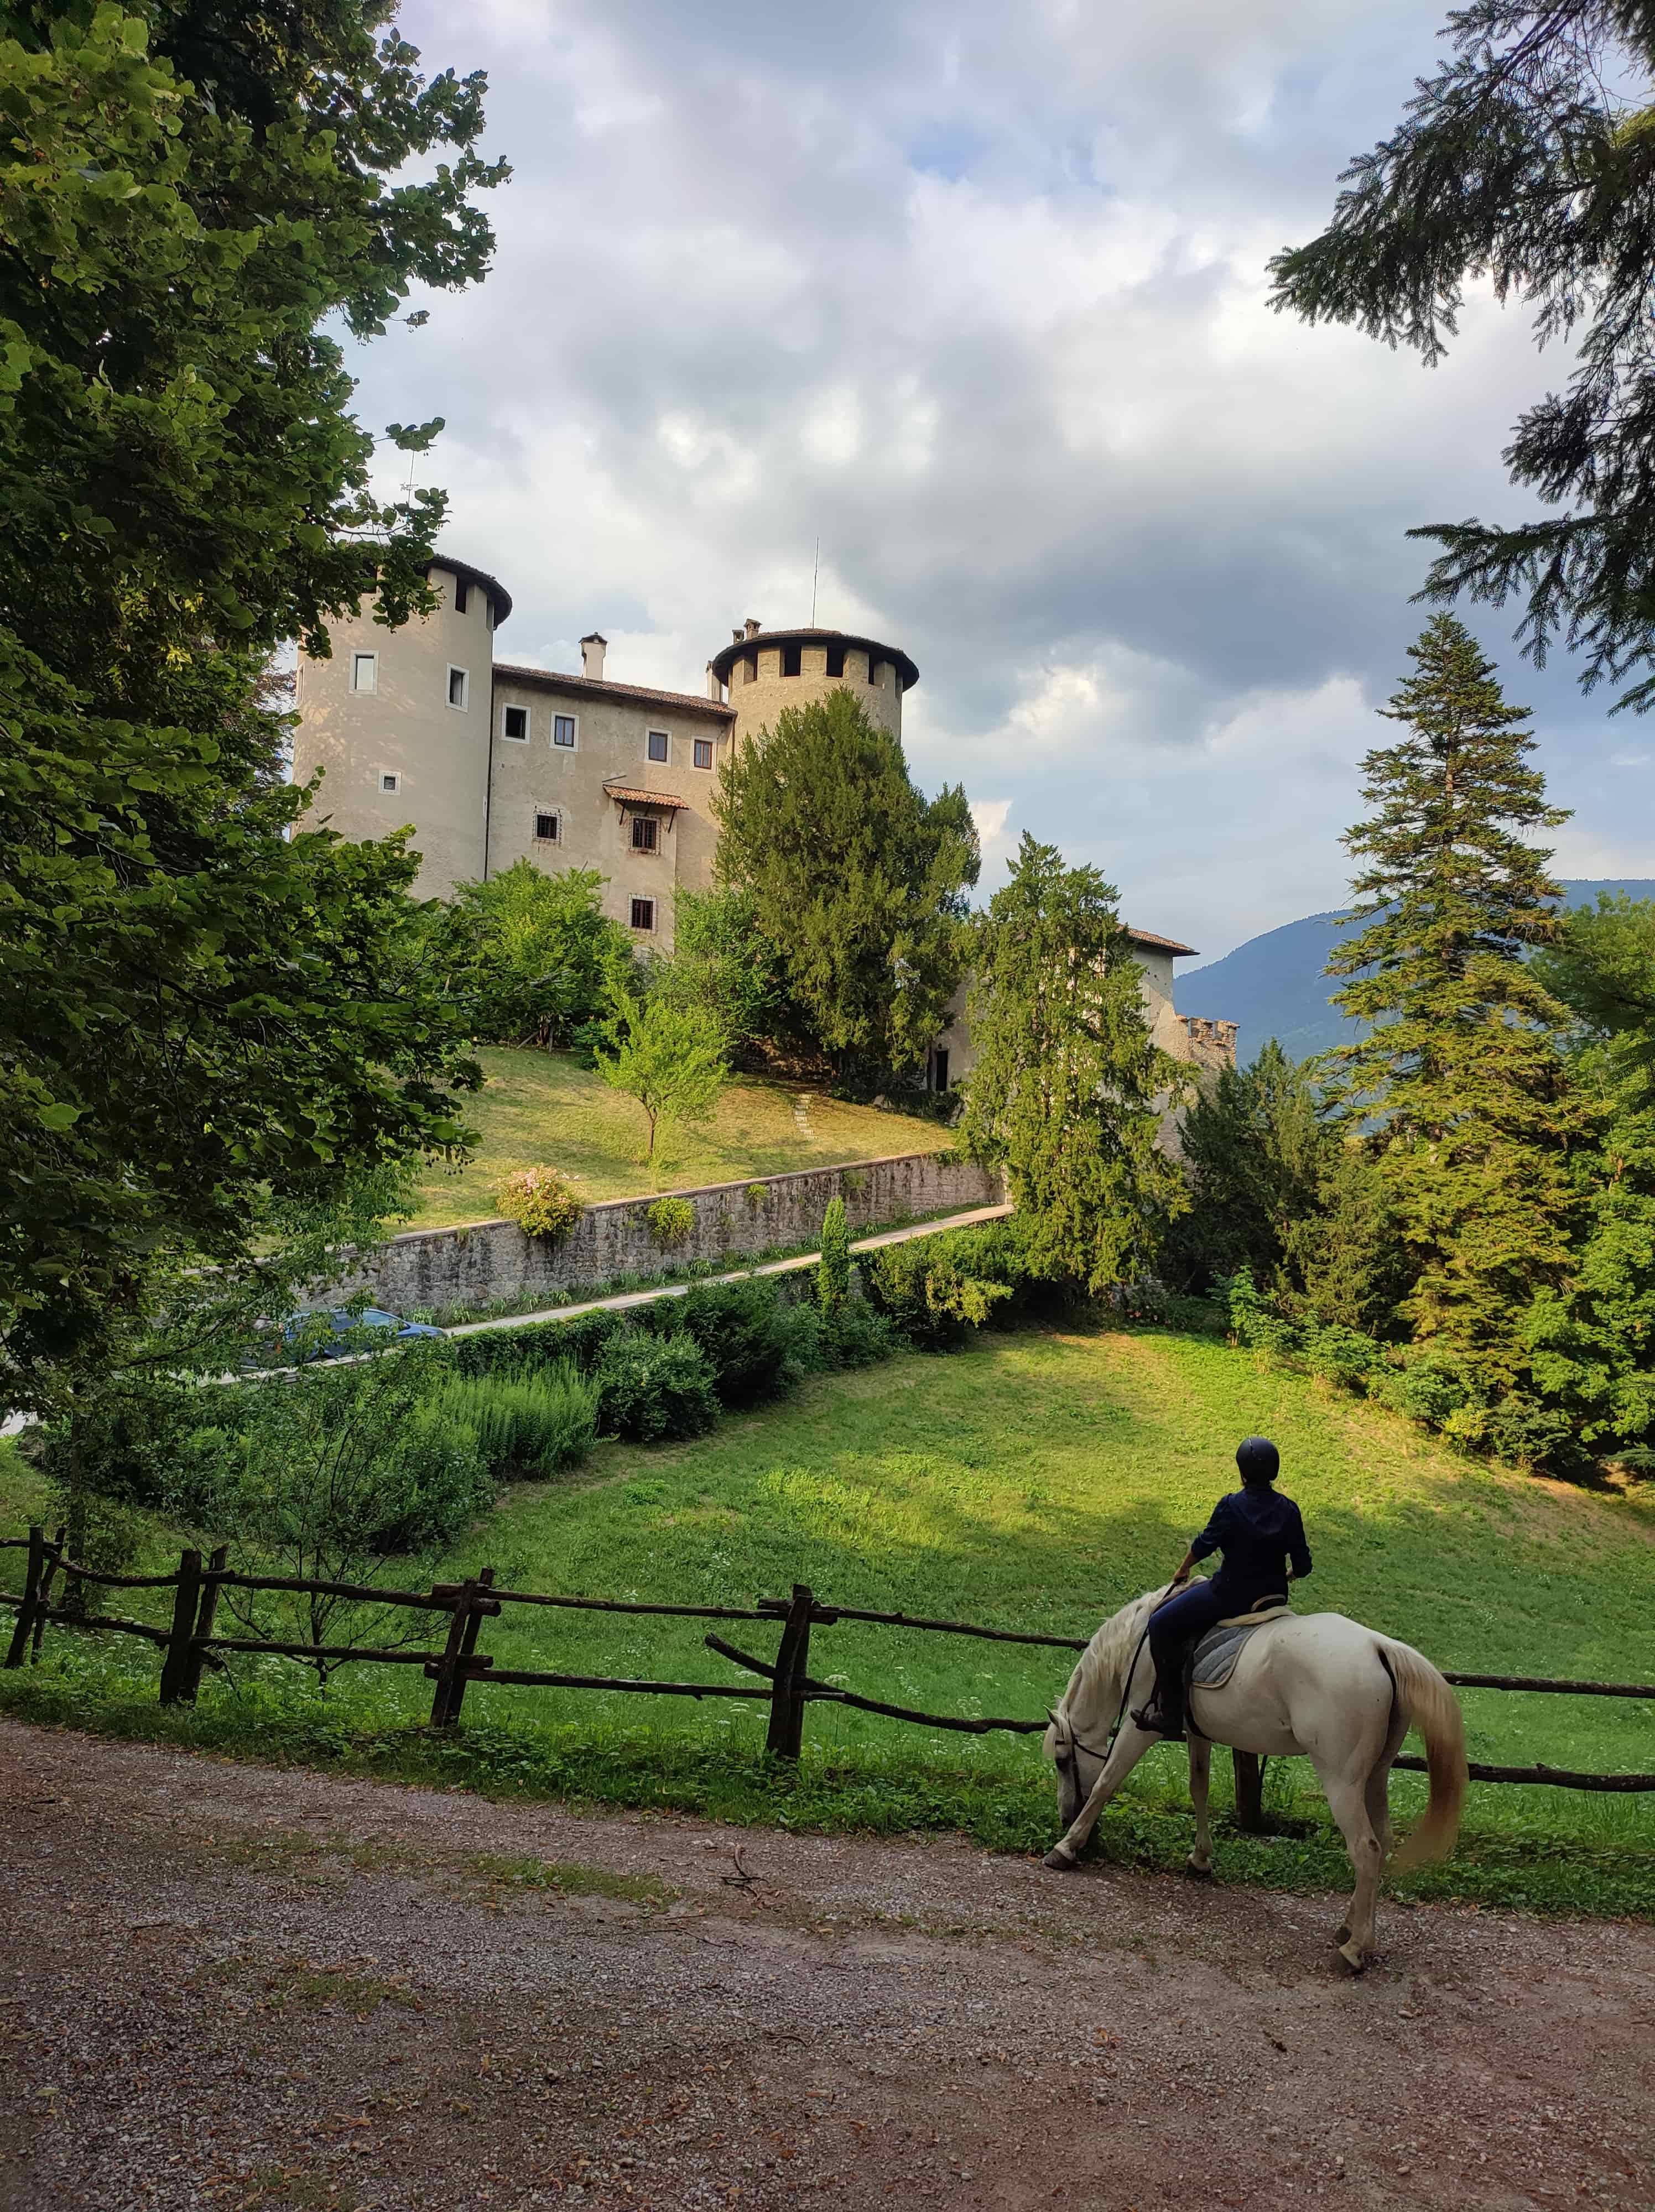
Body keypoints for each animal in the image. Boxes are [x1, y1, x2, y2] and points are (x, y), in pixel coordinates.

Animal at [1040, 1593, 1469, 1973]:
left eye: (1062, 1761)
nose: (1064, 1817)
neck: (1139, 1643)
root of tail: (1379, 1647)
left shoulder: (1140, 1727)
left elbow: (1106, 1782)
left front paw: (1066, 1847)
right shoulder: (1197, 1733)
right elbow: (1199, 1786)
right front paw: (1200, 1858)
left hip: (1342, 1780)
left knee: (1365, 1849)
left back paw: (1352, 1951)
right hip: (1375, 1777)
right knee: (1380, 1844)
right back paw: (1354, 1931)